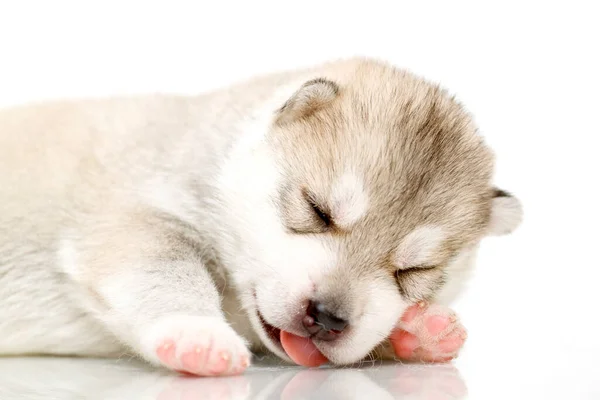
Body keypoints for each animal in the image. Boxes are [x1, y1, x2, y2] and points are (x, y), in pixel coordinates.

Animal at [0, 57, 520, 376]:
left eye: (413, 271)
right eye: (317, 210)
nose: (327, 317)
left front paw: (419, 331)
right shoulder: (137, 216)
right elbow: (166, 274)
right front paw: (198, 332)